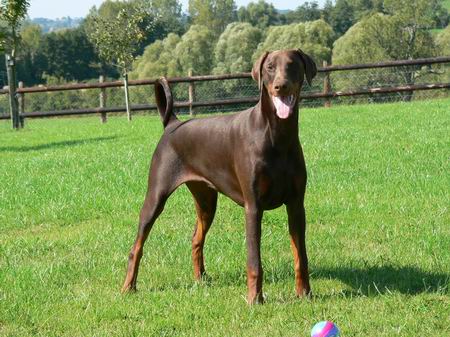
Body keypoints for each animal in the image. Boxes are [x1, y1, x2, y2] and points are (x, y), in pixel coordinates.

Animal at [120, 48, 316, 304]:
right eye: (270, 67)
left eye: (292, 65)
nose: (280, 86)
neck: (278, 136)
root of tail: (172, 124)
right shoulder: (253, 206)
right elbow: (254, 260)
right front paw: (255, 299)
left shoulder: (296, 204)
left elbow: (300, 255)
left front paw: (304, 293)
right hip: (156, 195)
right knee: (137, 245)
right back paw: (128, 287)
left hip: (206, 200)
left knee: (196, 238)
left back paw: (200, 279)